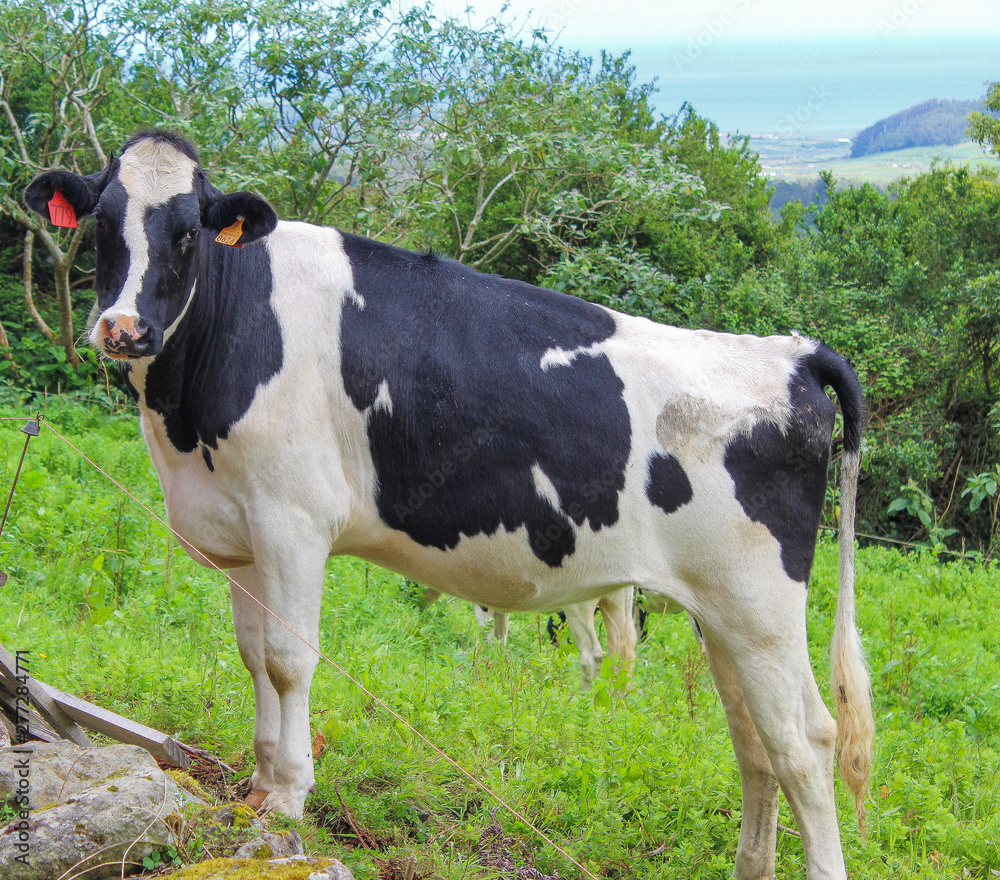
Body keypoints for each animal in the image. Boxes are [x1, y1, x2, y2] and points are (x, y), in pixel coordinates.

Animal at [25, 132, 876, 880]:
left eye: (189, 232)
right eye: (102, 222)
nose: (124, 329)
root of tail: (791, 353)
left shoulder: (293, 519)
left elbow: (290, 660)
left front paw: (290, 795)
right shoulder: (241, 532)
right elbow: (253, 657)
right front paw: (261, 785)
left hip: (760, 603)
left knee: (802, 745)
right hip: (722, 611)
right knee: (761, 740)